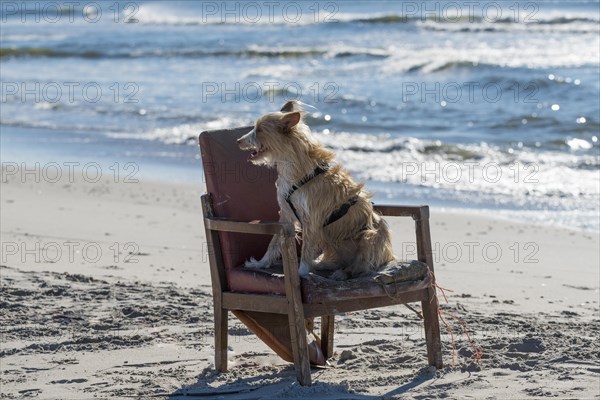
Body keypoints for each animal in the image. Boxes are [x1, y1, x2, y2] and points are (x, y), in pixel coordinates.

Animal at [237, 101, 396, 280]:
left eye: (259, 130)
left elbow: (306, 250)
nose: (238, 141)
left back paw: (342, 273)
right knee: (340, 261)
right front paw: (260, 263)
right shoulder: (286, 215)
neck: (291, 166)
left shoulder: (311, 219)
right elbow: (274, 242)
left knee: (361, 267)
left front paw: (301, 273)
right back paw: (323, 264)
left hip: (369, 236)